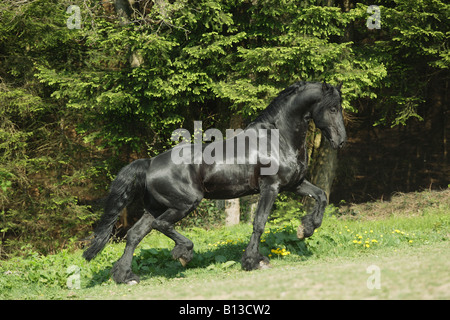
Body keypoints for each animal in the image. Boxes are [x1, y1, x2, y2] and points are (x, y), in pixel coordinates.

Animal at [82, 81, 346, 284]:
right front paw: (253, 261)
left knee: (135, 234)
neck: (276, 139)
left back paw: (126, 276)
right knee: (161, 225)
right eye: (333, 108)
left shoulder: (294, 184)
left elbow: (321, 196)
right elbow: (259, 222)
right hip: (185, 203)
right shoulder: (271, 187)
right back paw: (184, 253)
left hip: (156, 206)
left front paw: (306, 229)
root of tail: (150, 163)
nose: (341, 141)